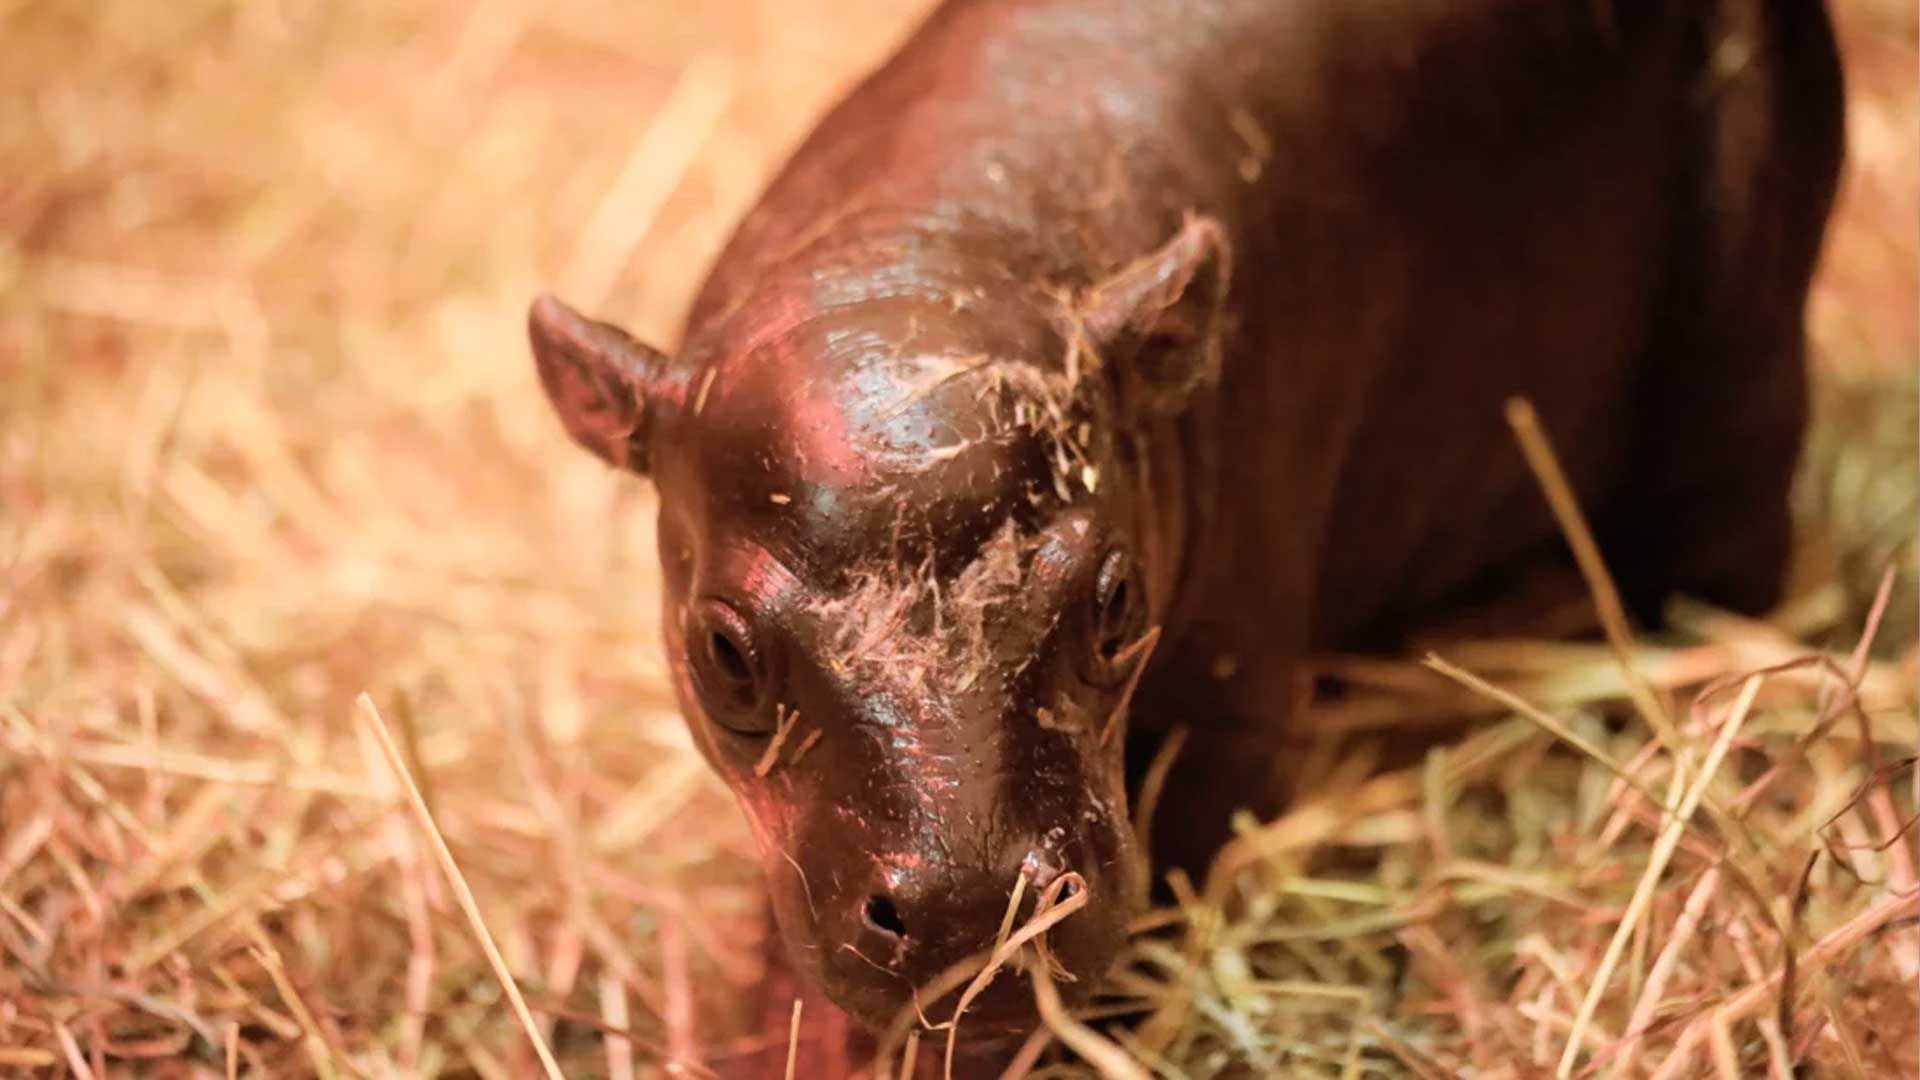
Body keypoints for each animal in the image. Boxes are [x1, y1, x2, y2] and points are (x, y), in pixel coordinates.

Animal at [526, 0, 1843, 1037]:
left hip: (1740, 384)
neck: (918, 249)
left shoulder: (1230, 698)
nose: (973, 906)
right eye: (723, 652)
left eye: (1115, 600)